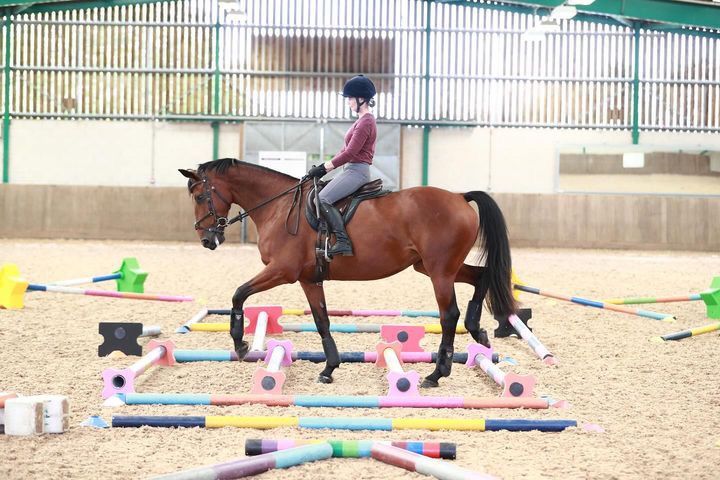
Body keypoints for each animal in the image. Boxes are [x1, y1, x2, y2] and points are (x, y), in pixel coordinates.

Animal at [180, 159, 516, 388]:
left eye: (200, 196)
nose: (207, 240)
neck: (279, 206)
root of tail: (460, 196)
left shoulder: (282, 271)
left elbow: (238, 294)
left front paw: (240, 343)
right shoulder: (308, 279)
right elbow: (322, 321)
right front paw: (329, 368)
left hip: (439, 272)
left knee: (449, 315)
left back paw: (436, 373)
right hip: (433, 267)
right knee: (481, 277)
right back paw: (478, 330)